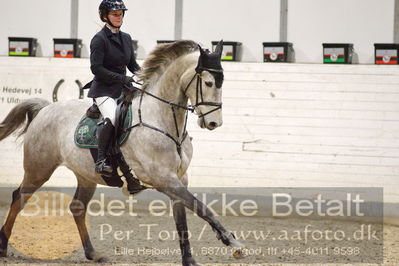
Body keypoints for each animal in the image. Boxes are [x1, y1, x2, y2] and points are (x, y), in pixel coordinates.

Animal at [0, 40, 247, 266]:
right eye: (208, 82)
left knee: (77, 208)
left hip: (86, 175)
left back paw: (93, 253)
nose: (214, 123)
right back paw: (3, 245)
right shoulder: (163, 179)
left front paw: (190, 260)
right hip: (39, 169)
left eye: (221, 83)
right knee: (19, 197)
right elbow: (202, 208)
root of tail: (45, 109)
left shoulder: (179, 179)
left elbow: (183, 221)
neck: (162, 120)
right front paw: (235, 245)